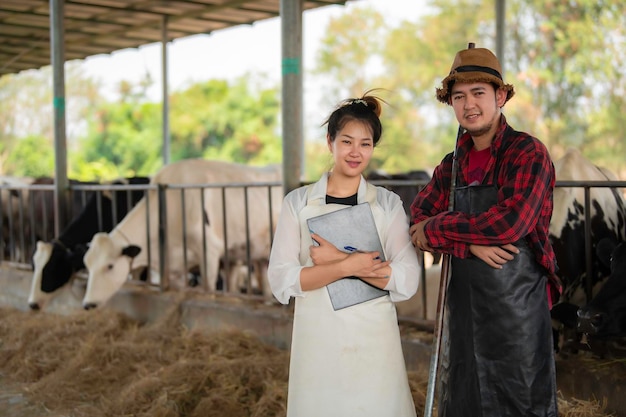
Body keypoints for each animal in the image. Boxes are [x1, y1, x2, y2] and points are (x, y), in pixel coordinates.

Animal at [81, 159, 282, 308]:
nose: (87, 304)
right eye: (87, 265)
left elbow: (208, 289)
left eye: (110, 266)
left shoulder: (209, 250)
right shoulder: (174, 269)